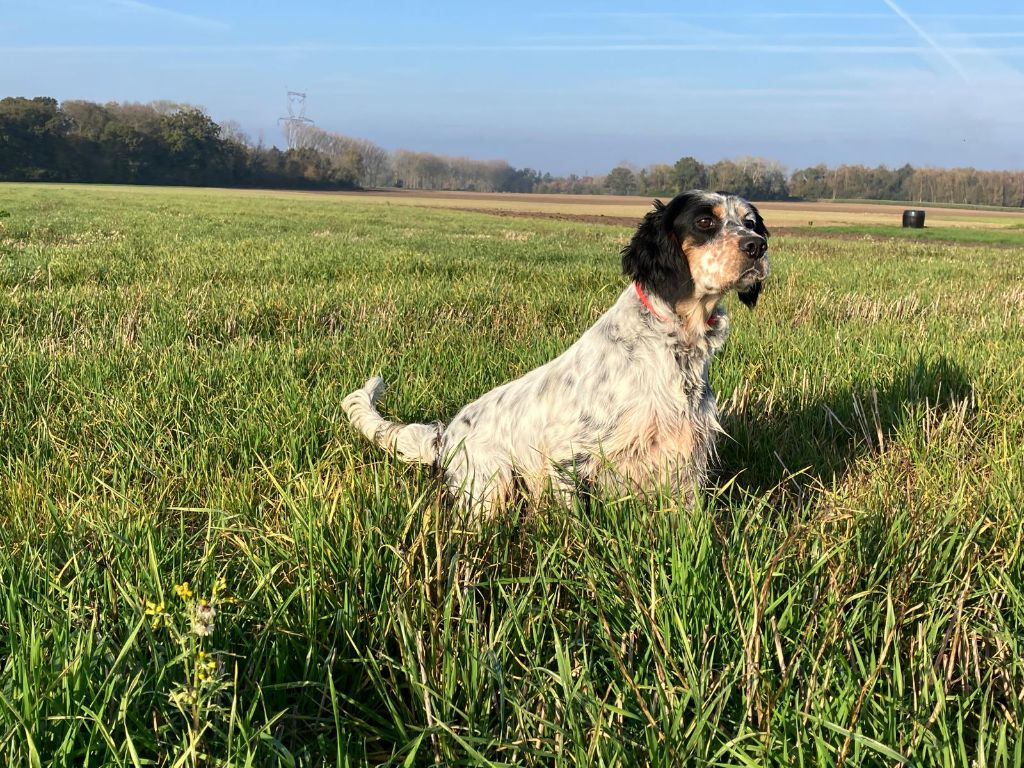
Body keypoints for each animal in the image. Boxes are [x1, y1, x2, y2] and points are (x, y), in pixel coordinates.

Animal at [344, 191, 770, 518]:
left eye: (750, 222)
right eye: (705, 222)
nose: (758, 246)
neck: (674, 339)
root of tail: (445, 436)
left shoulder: (684, 457)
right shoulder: (568, 453)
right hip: (492, 483)